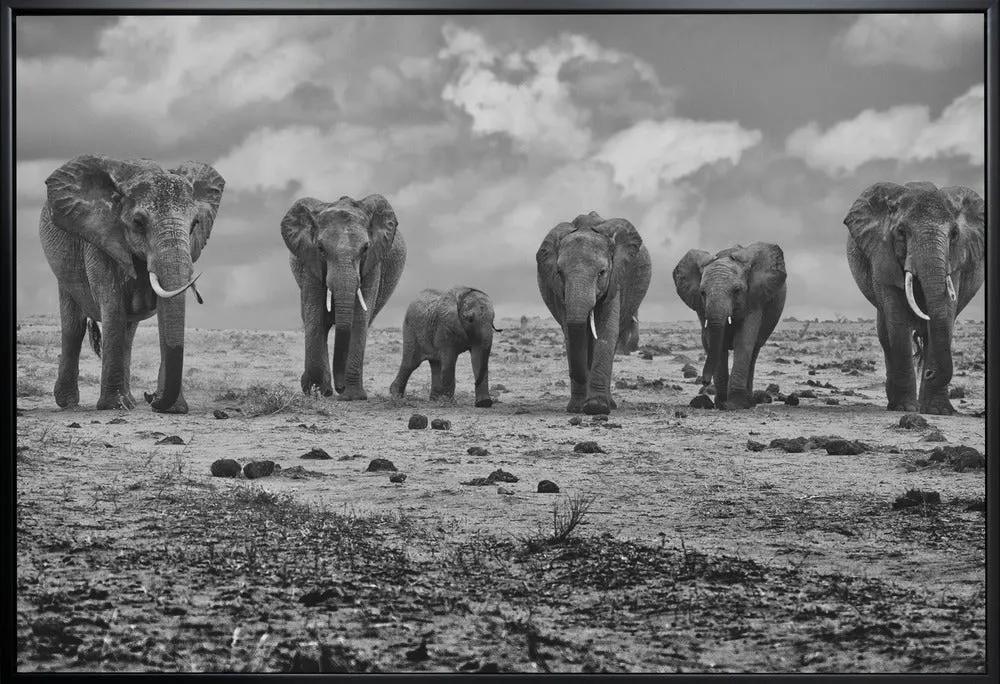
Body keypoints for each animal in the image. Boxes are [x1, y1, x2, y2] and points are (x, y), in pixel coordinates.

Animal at [39, 154, 224, 413]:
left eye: (195, 224)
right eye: (138, 222)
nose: (151, 396)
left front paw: (174, 409)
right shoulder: (102, 240)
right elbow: (113, 306)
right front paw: (113, 406)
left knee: (128, 333)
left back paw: (130, 401)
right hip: (61, 265)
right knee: (74, 325)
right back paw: (69, 404)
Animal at [282, 194, 406, 400]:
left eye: (365, 248)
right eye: (321, 248)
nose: (340, 388)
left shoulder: (373, 263)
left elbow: (360, 318)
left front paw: (353, 397)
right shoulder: (309, 261)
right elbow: (314, 315)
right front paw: (316, 390)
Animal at [536, 211, 651, 414]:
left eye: (602, 272)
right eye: (559, 273)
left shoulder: (615, 280)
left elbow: (606, 332)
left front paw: (596, 407)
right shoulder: (558, 291)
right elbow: (570, 334)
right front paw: (577, 408)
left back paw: (609, 404)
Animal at [673, 242, 787, 410]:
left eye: (737, 291)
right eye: (702, 293)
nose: (704, 382)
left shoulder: (754, 299)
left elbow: (743, 340)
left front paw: (734, 405)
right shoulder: (701, 307)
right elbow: (715, 342)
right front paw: (721, 403)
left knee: (754, 351)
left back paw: (749, 403)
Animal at [844, 181, 984, 415]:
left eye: (955, 233)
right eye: (901, 232)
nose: (929, 373)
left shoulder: (956, 261)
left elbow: (946, 313)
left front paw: (938, 412)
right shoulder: (883, 257)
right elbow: (898, 323)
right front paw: (905, 408)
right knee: (886, 337)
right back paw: (896, 404)